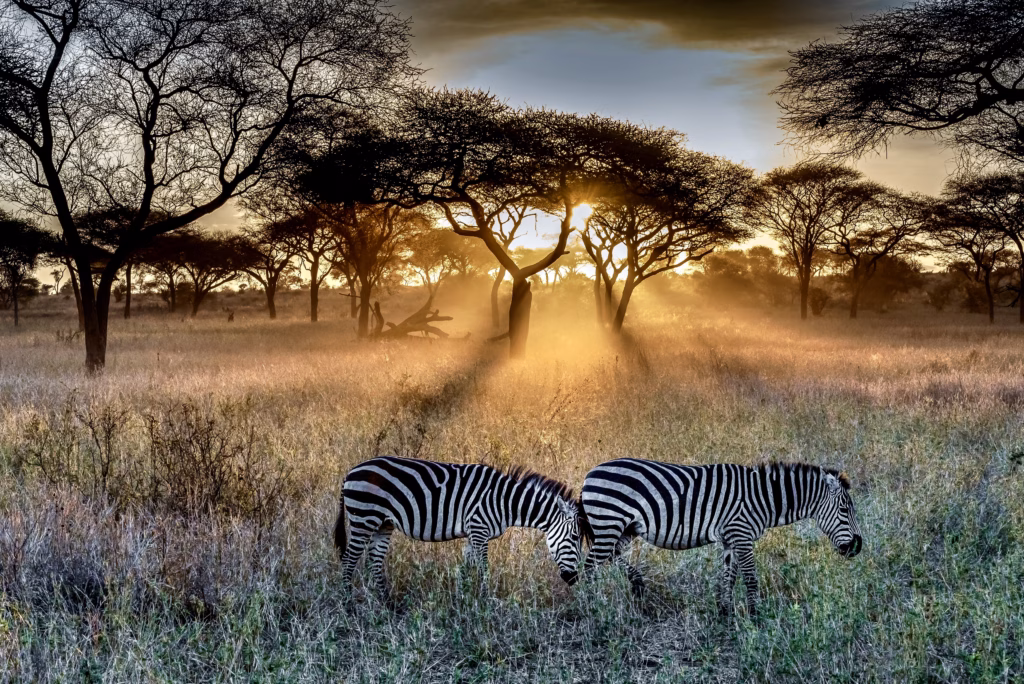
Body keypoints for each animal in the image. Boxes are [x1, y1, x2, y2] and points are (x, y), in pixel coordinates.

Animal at [334, 455, 589, 599]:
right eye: (574, 537)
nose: (574, 579)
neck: (503, 500)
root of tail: (350, 472)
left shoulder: (472, 533)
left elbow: (465, 569)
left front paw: (462, 599)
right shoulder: (479, 529)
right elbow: (484, 569)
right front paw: (486, 602)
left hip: (383, 524)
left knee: (374, 562)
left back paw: (386, 603)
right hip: (364, 518)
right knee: (349, 560)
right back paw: (348, 604)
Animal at [580, 459, 863, 616]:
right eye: (845, 510)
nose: (857, 548)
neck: (762, 498)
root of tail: (590, 473)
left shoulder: (731, 539)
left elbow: (729, 576)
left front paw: (725, 612)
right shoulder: (742, 534)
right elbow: (750, 578)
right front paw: (755, 615)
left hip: (625, 528)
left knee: (611, 555)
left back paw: (635, 583)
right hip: (609, 523)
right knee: (589, 566)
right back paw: (593, 606)